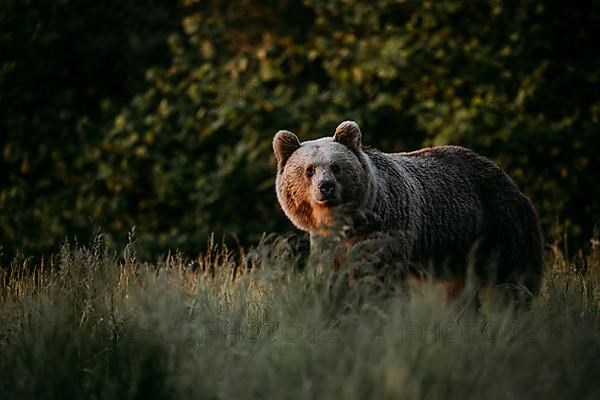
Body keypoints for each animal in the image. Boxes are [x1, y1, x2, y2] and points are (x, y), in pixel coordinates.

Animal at [272, 120, 544, 296]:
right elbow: (333, 278)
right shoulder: (328, 244)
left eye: (336, 166)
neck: (347, 222)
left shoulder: (386, 230)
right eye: (309, 170)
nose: (326, 187)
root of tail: (507, 177)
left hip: (499, 226)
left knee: (512, 280)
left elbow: (376, 276)